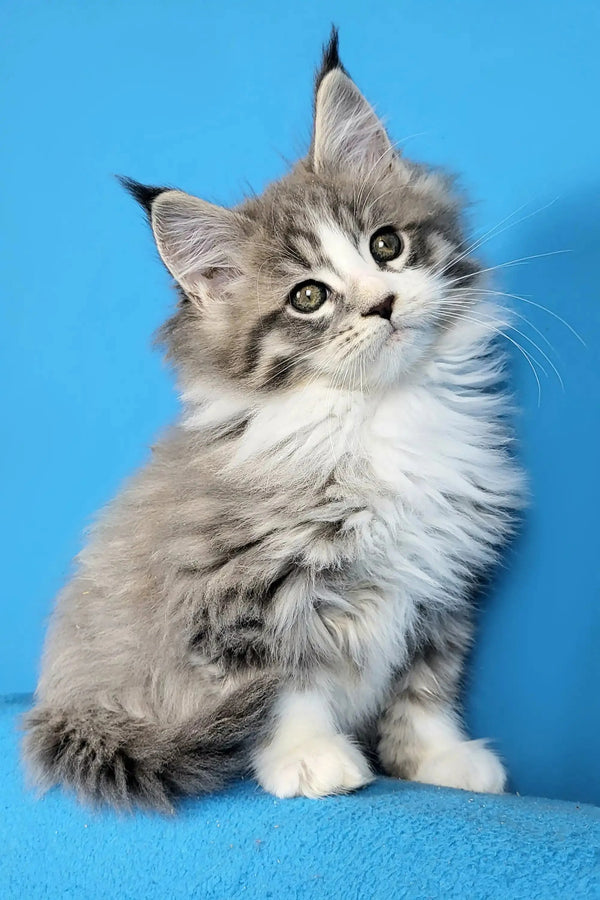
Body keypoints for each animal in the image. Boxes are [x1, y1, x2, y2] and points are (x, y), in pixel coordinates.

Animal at [22, 31, 524, 812]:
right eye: (308, 297)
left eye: (386, 246)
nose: (381, 304)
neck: (377, 413)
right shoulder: (240, 593)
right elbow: (284, 687)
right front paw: (312, 758)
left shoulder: (440, 584)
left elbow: (425, 688)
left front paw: (439, 760)